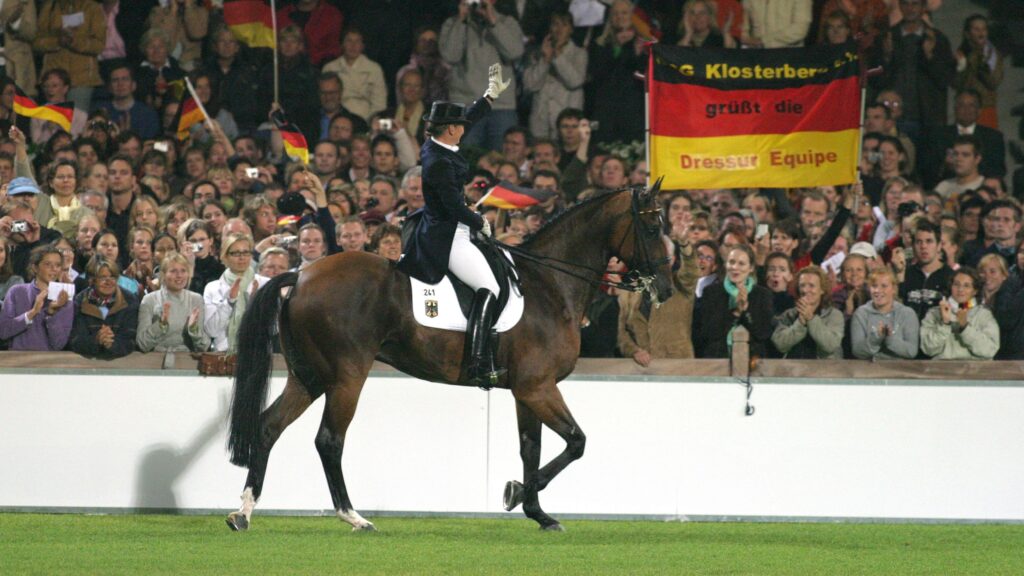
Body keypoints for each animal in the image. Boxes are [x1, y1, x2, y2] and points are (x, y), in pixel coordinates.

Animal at [225, 184, 673, 532]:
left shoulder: (526, 389)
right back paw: (354, 517)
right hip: (346, 377)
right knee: (329, 440)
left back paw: (243, 513)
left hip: (308, 376)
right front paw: (516, 494)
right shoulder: (538, 387)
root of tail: (300, 275)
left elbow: (531, 448)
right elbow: (576, 442)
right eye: (653, 228)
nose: (666, 289)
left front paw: (537, 512)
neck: (551, 285)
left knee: (269, 426)